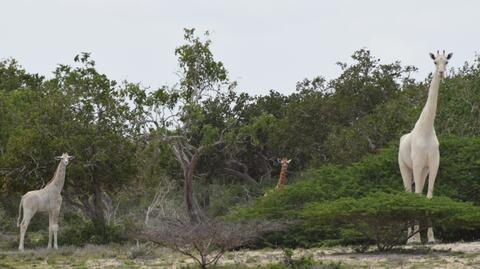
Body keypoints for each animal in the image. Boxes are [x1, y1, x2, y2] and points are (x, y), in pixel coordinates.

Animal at [400, 49, 452, 243]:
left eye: (446, 62)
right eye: (435, 62)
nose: (441, 73)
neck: (427, 129)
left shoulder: (433, 164)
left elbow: (428, 196)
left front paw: (430, 237)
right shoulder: (416, 164)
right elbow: (415, 196)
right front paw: (415, 238)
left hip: (423, 170)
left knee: (419, 192)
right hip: (405, 167)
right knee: (409, 193)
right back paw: (410, 238)